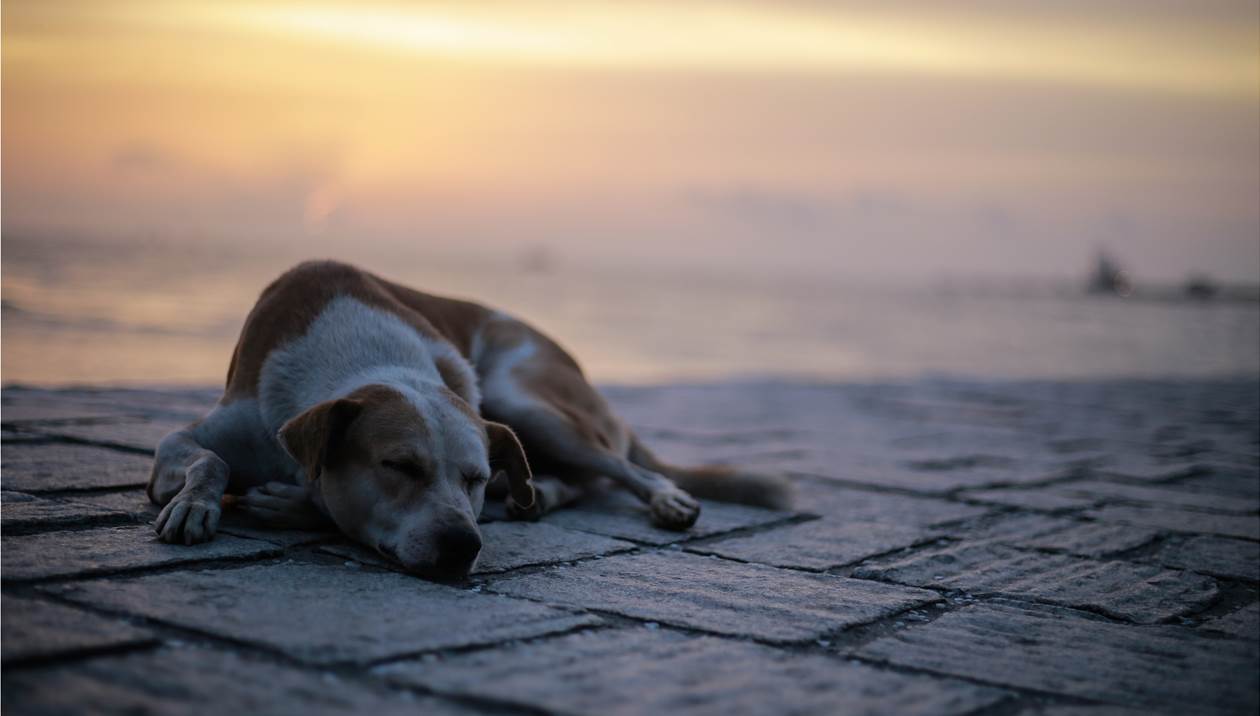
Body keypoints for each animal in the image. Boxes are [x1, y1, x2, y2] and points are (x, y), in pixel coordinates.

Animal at [149, 261, 792, 579]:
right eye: (398, 466)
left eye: (475, 478)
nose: (463, 546)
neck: (363, 355)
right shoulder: (199, 436)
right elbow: (206, 457)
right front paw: (195, 504)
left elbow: (318, 499)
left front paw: (293, 504)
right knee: (576, 479)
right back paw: (542, 495)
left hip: (522, 398)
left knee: (615, 470)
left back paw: (661, 498)